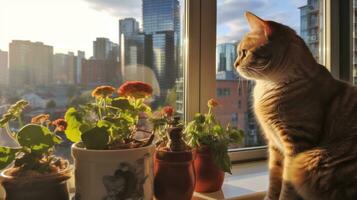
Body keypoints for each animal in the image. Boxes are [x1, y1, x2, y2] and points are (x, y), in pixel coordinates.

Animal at [234, 12, 356, 200]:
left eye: (244, 52)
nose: (234, 64)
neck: (267, 87)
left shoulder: (297, 143)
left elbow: (287, 187)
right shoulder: (275, 146)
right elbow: (274, 180)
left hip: (305, 162)